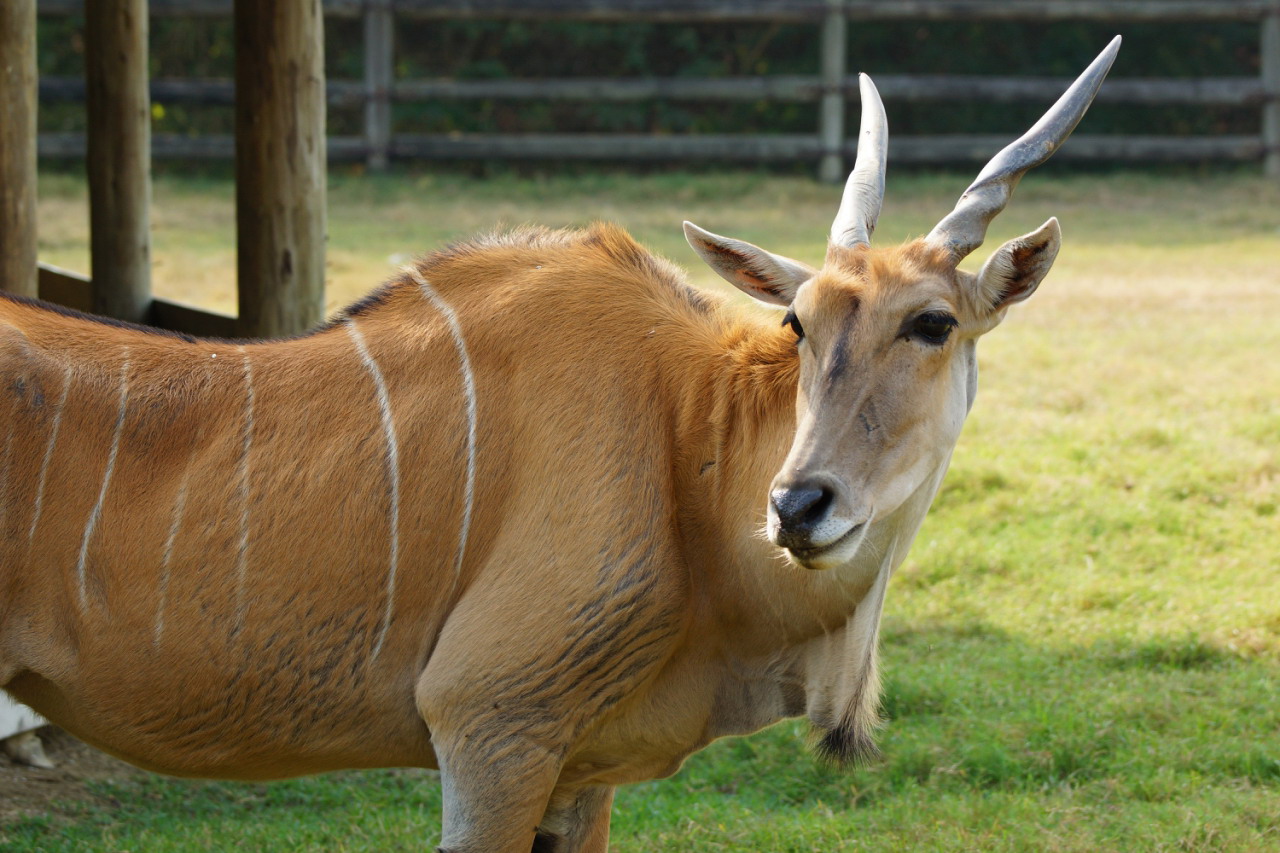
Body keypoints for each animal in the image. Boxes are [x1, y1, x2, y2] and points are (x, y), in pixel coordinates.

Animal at [0, 38, 1116, 850]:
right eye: (798, 321)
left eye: (932, 322)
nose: (799, 506)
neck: (686, 435)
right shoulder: (491, 734)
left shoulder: (577, 774)